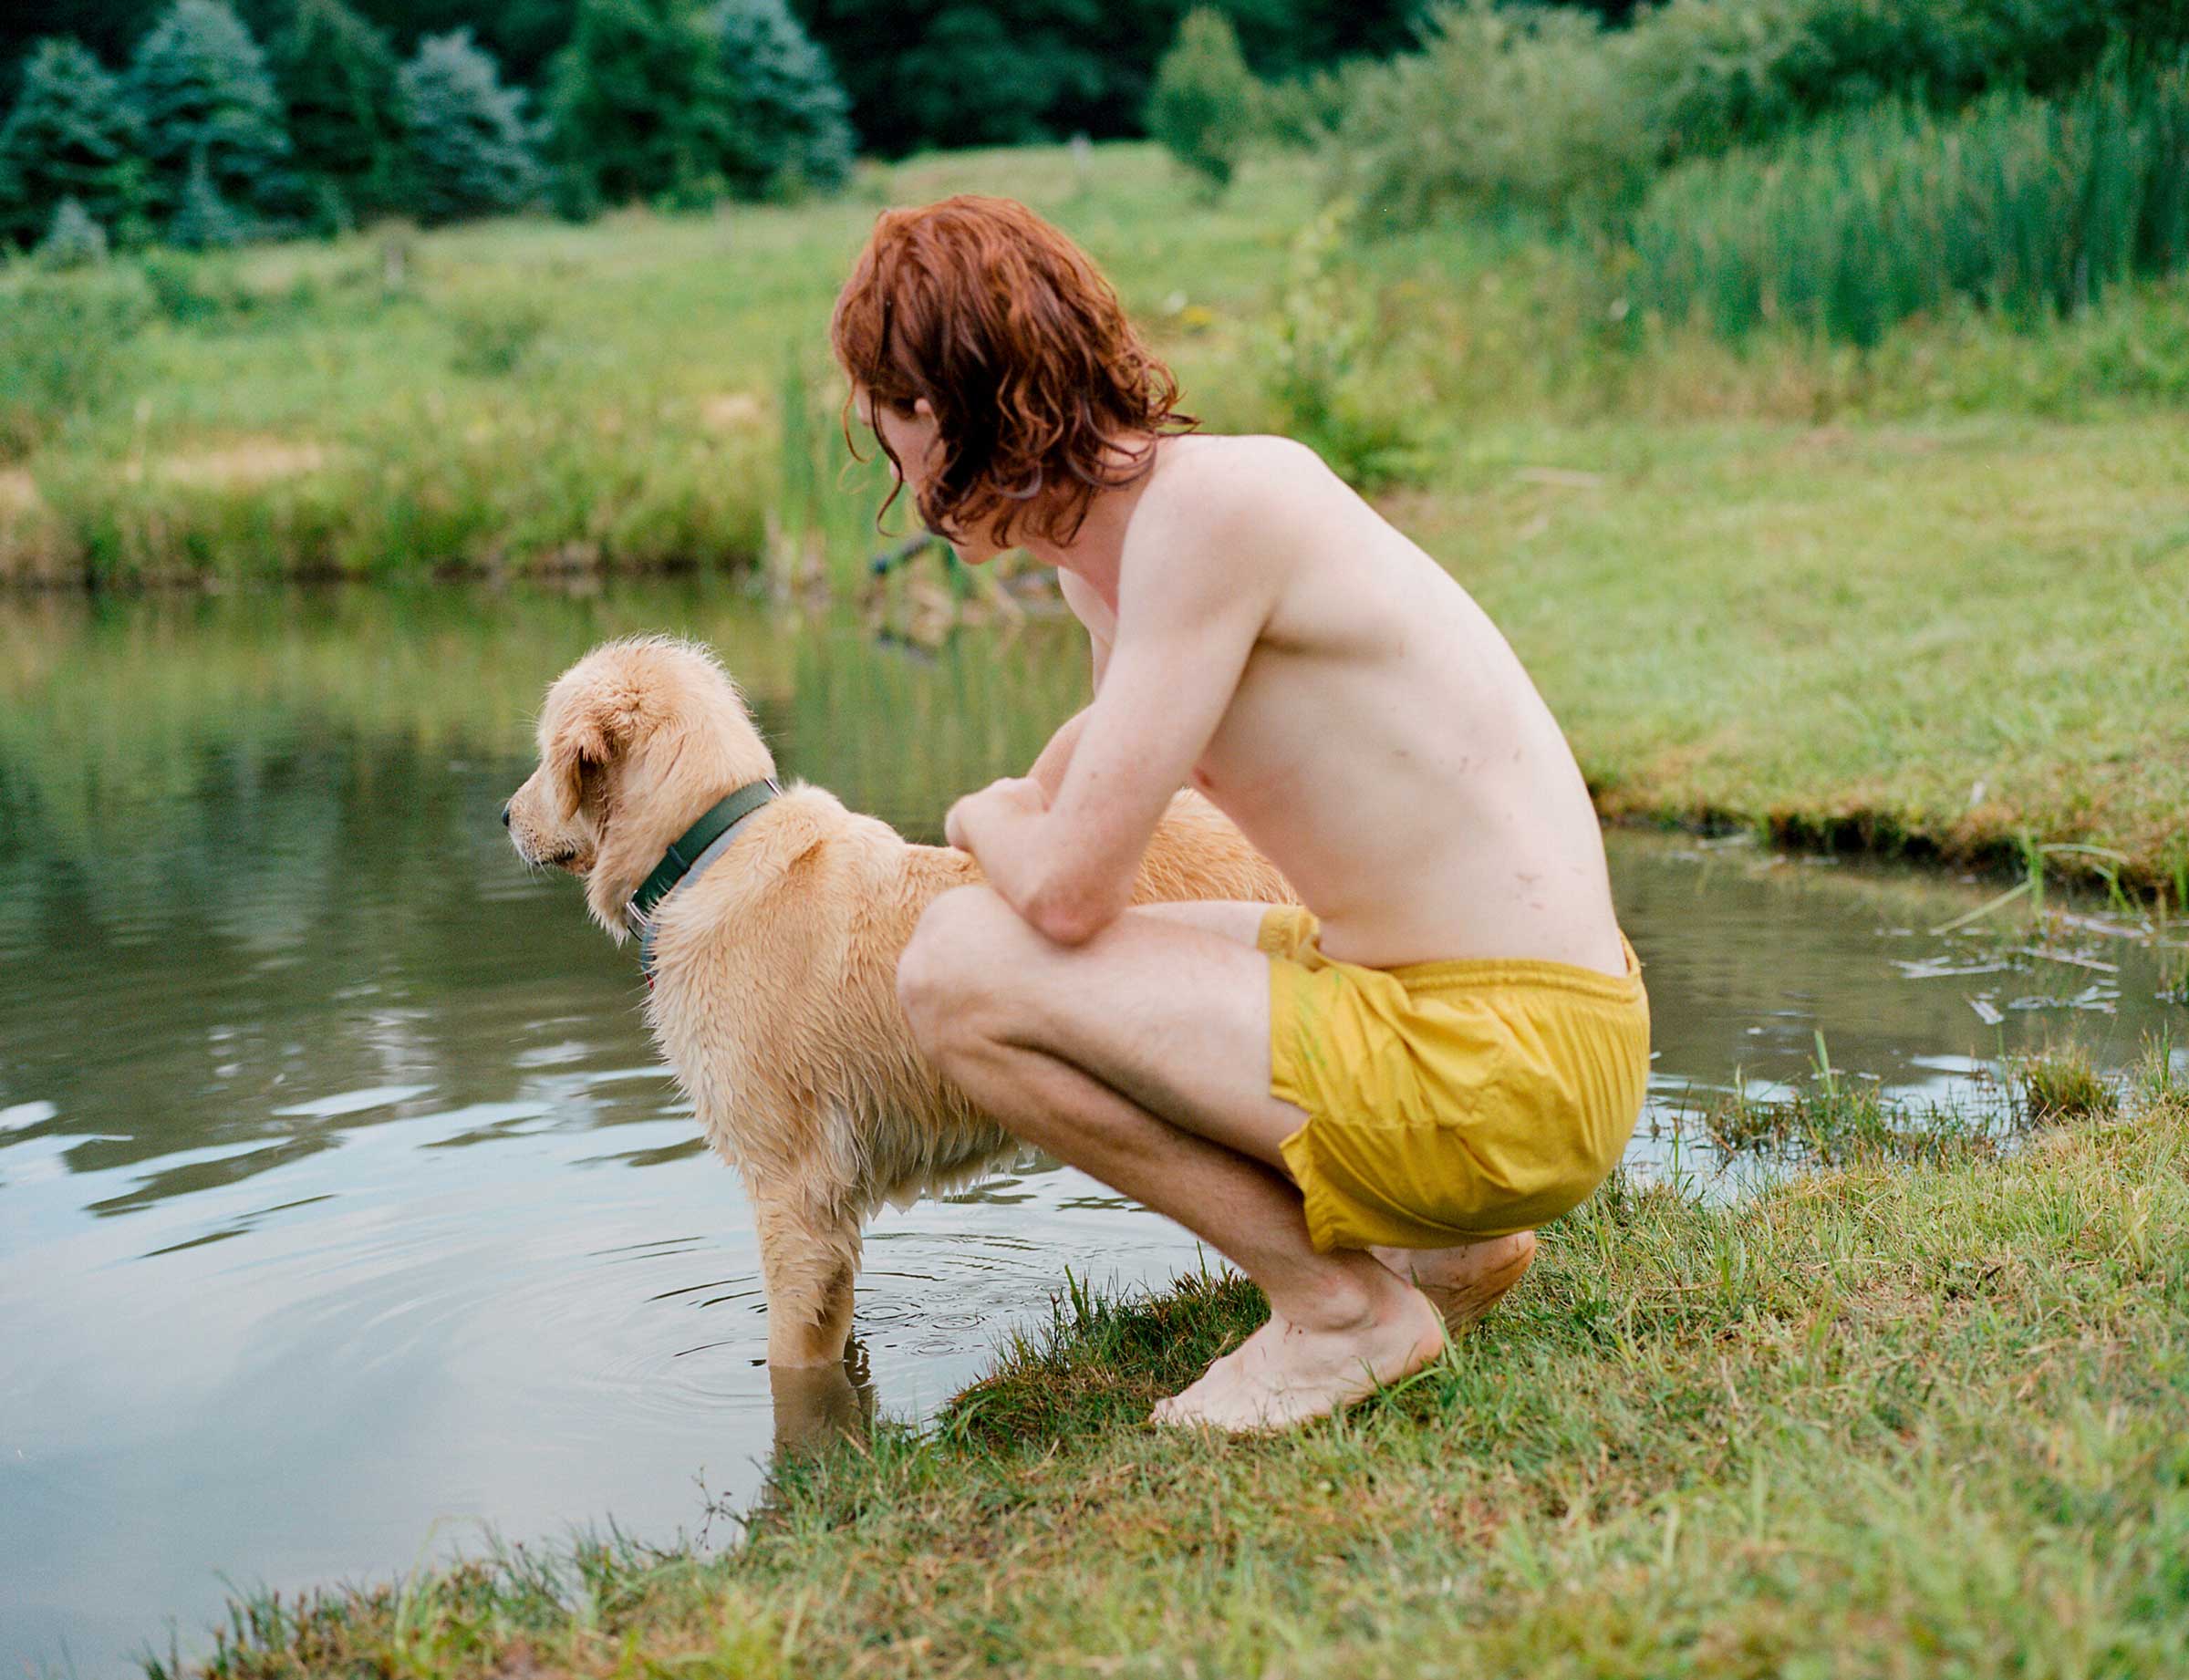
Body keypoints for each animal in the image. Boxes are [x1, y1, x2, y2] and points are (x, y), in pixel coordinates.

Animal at [501, 638, 1278, 1382]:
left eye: (542, 751)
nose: (505, 816)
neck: (702, 851)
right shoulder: (831, 1208)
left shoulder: (794, 1189)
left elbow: (793, 1358)